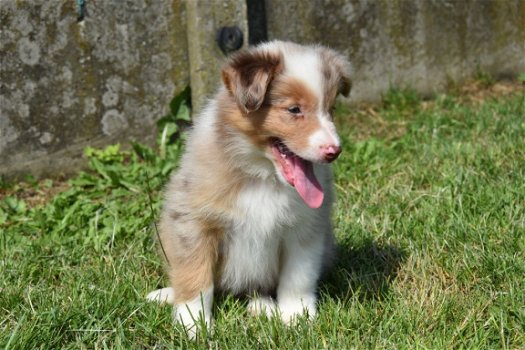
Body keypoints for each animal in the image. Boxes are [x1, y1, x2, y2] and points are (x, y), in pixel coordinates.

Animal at [147, 39, 350, 334]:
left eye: (331, 109)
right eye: (294, 110)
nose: (334, 151)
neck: (262, 175)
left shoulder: (305, 228)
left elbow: (298, 277)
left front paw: (296, 316)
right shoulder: (193, 223)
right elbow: (195, 275)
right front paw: (193, 325)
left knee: (257, 289)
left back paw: (262, 307)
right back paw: (166, 295)